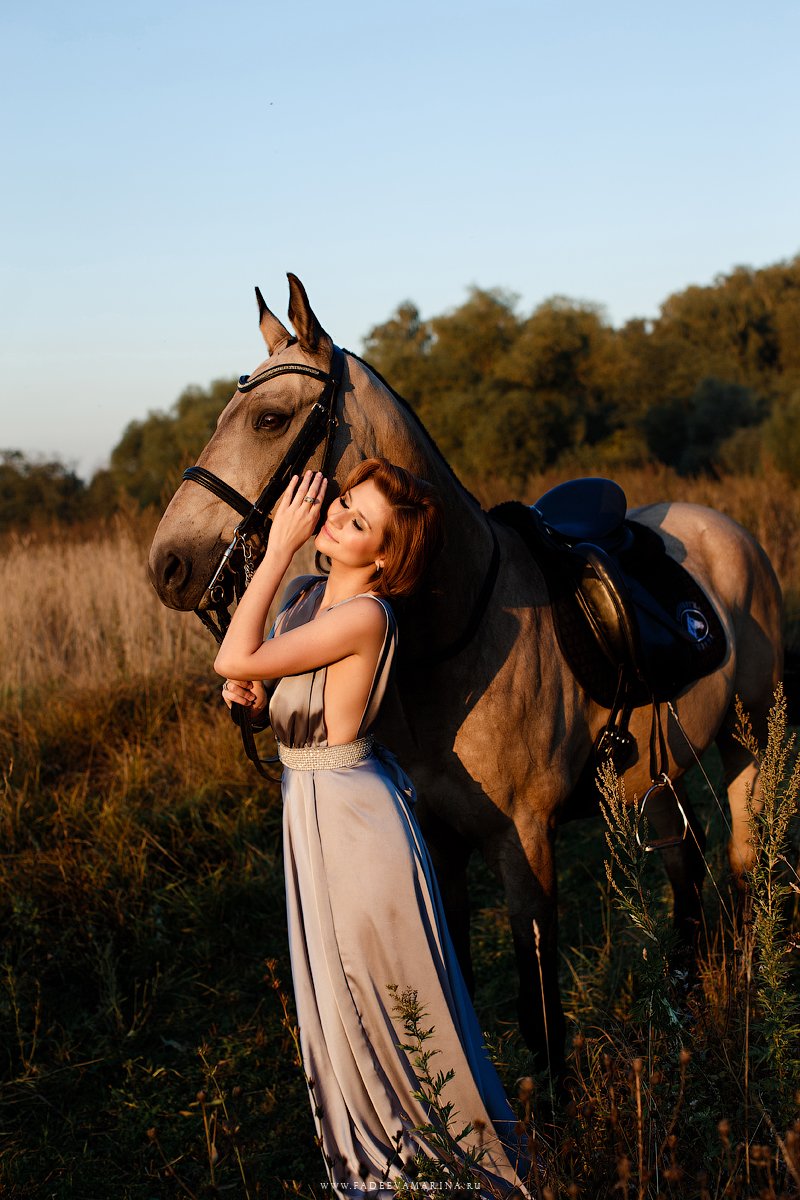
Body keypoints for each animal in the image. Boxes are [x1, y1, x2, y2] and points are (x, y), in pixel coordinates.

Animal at [148, 274, 782, 1070]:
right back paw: (683, 1005)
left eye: (269, 418)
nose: (168, 565)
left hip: (748, 737)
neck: (450, 640)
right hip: (657, 772)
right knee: (686, 867)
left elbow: (539, 1012)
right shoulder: (438, 843)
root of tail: (727, 529)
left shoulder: (526, 846)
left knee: (742, 857)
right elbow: (456, 989)